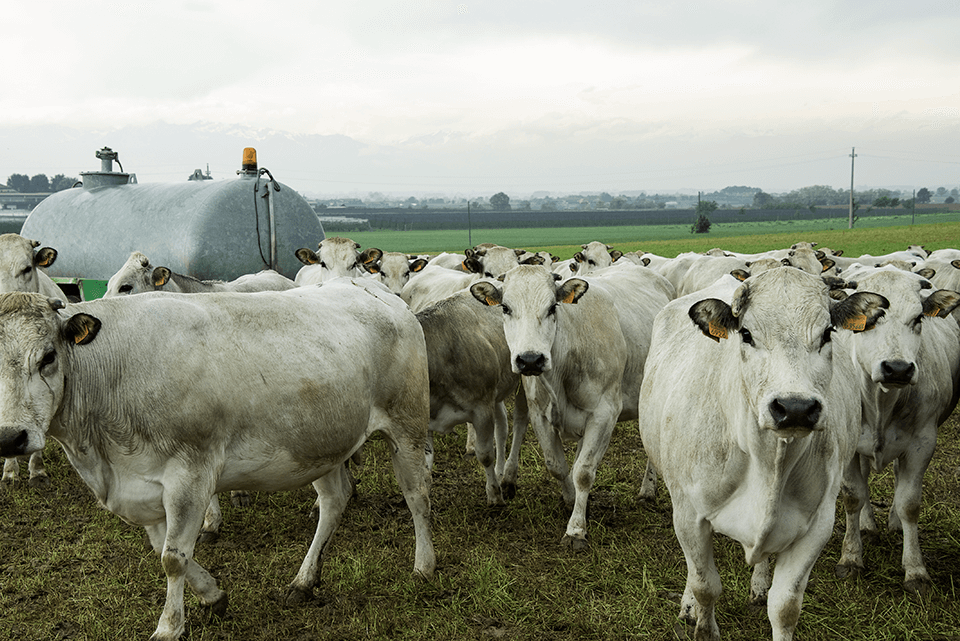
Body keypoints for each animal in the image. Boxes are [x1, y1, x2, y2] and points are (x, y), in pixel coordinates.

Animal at [0, 284, 432, 640]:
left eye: (48, 357)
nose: (10, 437)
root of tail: (379, 292)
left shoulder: (189, 473)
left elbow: (173, 558)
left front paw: (169, 628)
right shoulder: (141, 484)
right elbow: (165, 550)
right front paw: (213, 595)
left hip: (407, 423)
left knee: (417, 496)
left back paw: (424, 567)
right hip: (320, 445)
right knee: (334, 500)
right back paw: (304, 581)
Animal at [640, 268, 888, 636]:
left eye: (827, 332)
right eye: (746, 333)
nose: (795, 408)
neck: (767, 462)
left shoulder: (815, 527)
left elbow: (785, 608)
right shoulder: (688, 514)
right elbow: (705, 586)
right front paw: (701, 622)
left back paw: (759, 584)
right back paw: (688, 605)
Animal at [832, 266, 960, 596]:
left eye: (917, 319)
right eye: (868, 320)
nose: (898, 368)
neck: (881, 401)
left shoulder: (922, 444)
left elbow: (909, 504)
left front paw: (915, 570)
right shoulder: (847, 446)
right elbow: (853, 496)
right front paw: (851, 556)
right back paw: (867, 525)